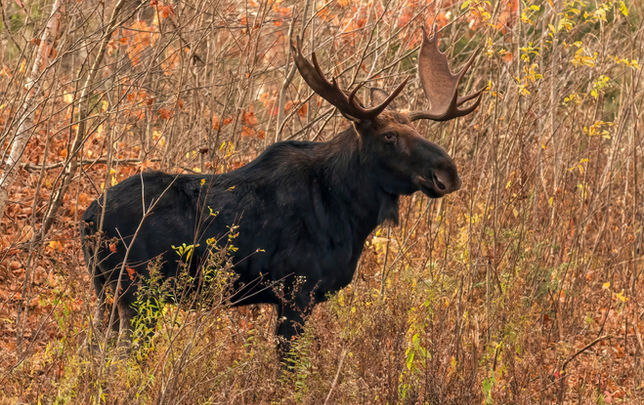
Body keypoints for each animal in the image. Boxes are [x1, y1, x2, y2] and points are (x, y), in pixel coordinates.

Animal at [80, 27, 483, 355]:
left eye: (417, 131)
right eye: (389, 137)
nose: (448, 172)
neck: (350, 214)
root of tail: (87, 219)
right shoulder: (295, 293)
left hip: (106, 293)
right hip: (137, 292)